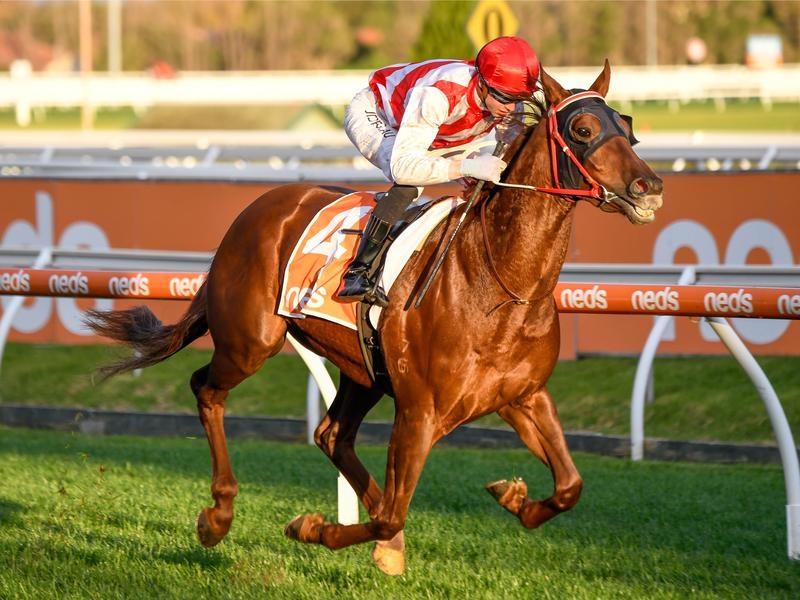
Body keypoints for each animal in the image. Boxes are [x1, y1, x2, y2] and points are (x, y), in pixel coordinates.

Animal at [85, 61, 663, 576]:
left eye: (627, 125)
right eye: (583, 129)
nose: (650, 187)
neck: (500, 284)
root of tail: (257, 208)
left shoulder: (522, 397)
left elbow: (569, 486)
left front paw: (514, 497)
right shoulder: (420, 412)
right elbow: (388, 516)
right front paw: (313, 528)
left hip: (362, 369)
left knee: (331, 435)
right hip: (251, 341)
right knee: (207, 389)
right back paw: (218, 516)